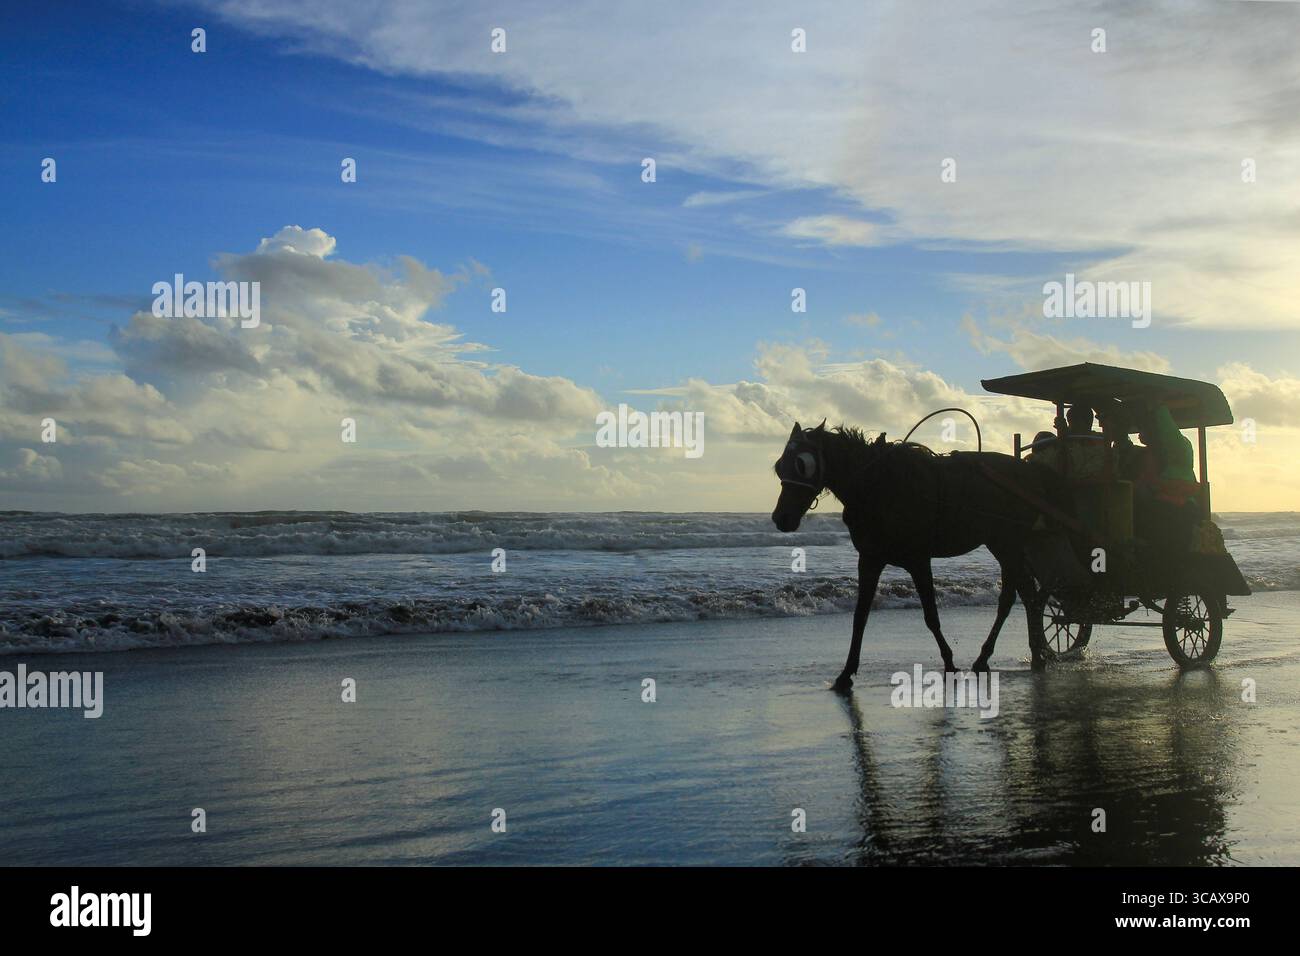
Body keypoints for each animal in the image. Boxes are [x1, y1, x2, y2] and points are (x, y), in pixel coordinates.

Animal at [771, 420, 1074, 691]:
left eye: (802, 464)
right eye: (779, 466)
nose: (781, 518)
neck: (878, 486)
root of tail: (1029, 472)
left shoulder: (918, 559)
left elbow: (930, 615)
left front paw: (949, 662)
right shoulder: (869, 559)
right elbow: (860, 616)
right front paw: (846, 673)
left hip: (1009, 542)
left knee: (1022, 596)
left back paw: (1021, 655)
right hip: (1001, 544)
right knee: (1023, 595)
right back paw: (1017, 655)